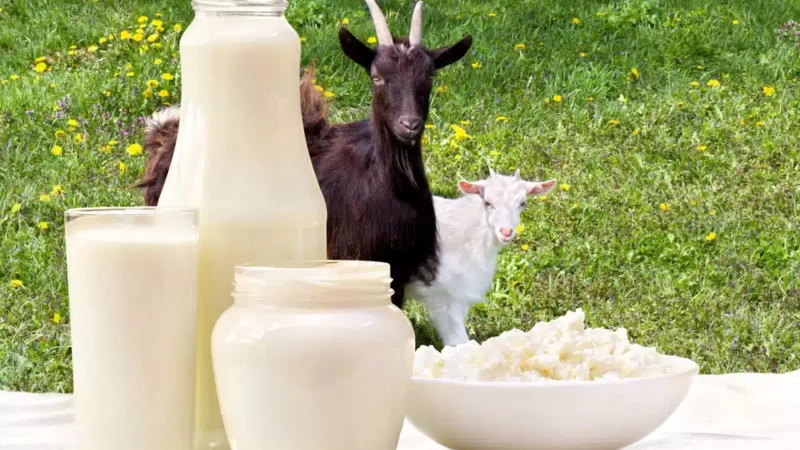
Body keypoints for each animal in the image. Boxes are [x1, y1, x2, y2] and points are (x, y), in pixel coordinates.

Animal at [138, 0, 472, 308]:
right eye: (377, 76)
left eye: (429, 76)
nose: (409, 124)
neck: (391, 184)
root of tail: (164, 132)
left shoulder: (398, 266)